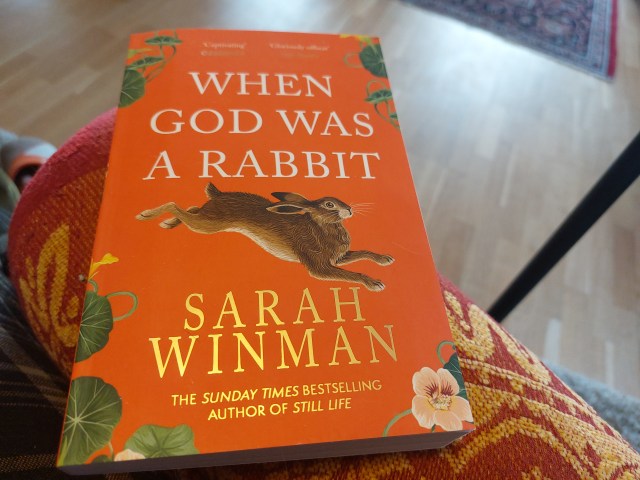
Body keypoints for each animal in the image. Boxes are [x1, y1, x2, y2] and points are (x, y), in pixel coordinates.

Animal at [136, 183, 394, 291]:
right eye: (329, 204)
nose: (349, 209)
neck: (321, 226)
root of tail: (217, 195)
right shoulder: (320, 266)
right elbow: (351, 274)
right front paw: (375, 283)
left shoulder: (339, 257)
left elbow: (364, 252)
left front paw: (385, 259)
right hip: (207, 225)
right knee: (175, 205)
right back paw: (146, 215)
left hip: (206, 219)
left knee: (190, 208)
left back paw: (168, 223)